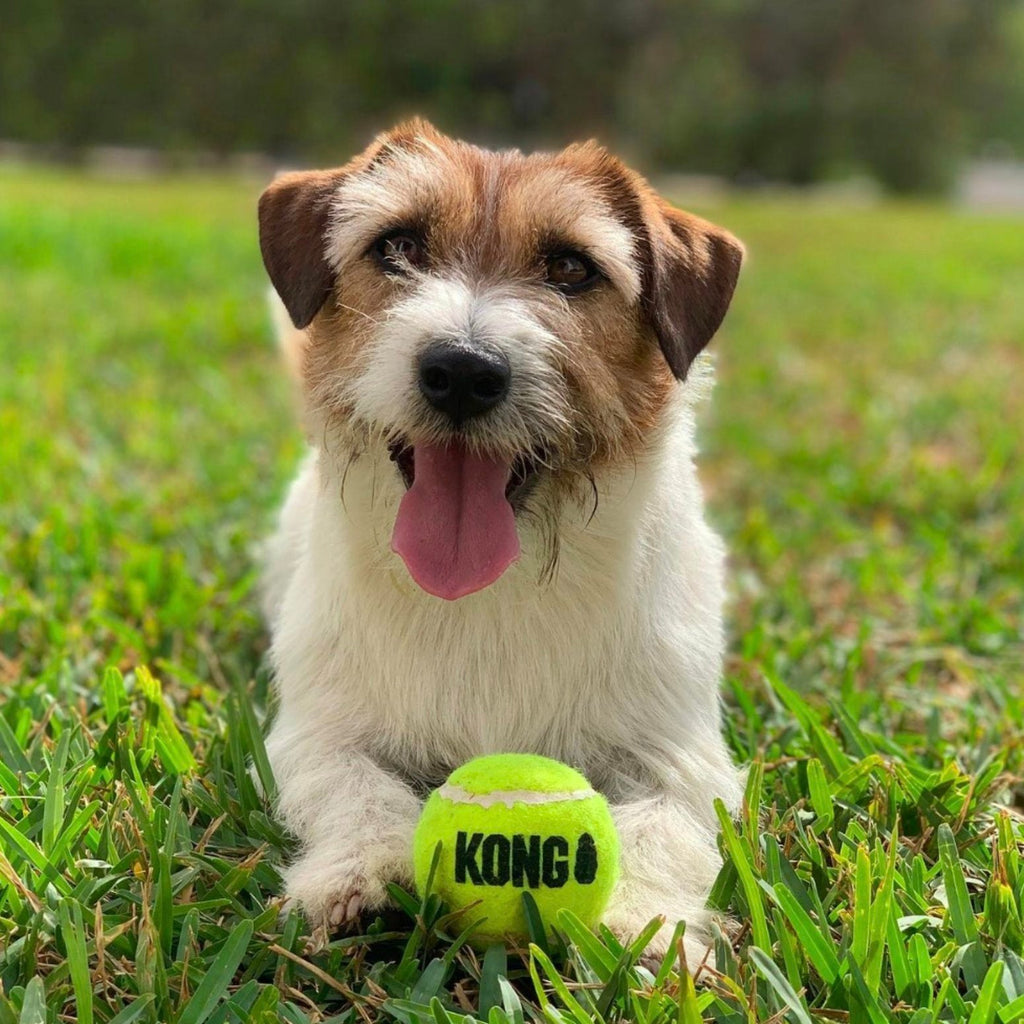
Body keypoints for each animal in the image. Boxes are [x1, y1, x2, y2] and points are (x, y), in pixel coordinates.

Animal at [258, 119, 745, 958]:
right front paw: (361, 872)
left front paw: (642, 923)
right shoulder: (319, 733)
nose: (461, 370)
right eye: (397, 246)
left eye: (571, 267)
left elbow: (663, 828)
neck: (494, 590)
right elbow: (356, 788)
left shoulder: (683, 758)